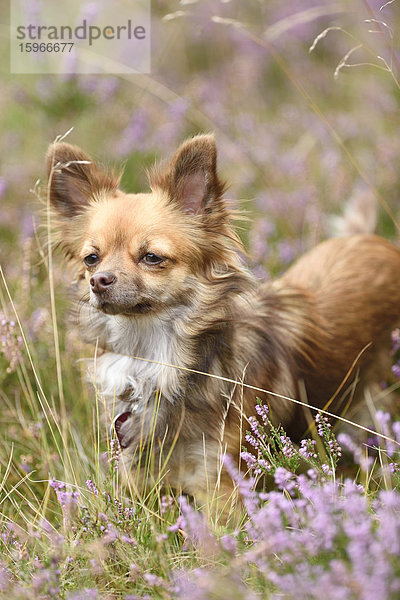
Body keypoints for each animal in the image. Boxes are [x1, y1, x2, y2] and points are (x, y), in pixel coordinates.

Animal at [45, 135, 400, 502]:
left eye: (152, 257)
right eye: (91, 259)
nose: (99, 280)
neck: (151, 355)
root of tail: (369, 238)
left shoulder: (220, 481)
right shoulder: (137, 472)